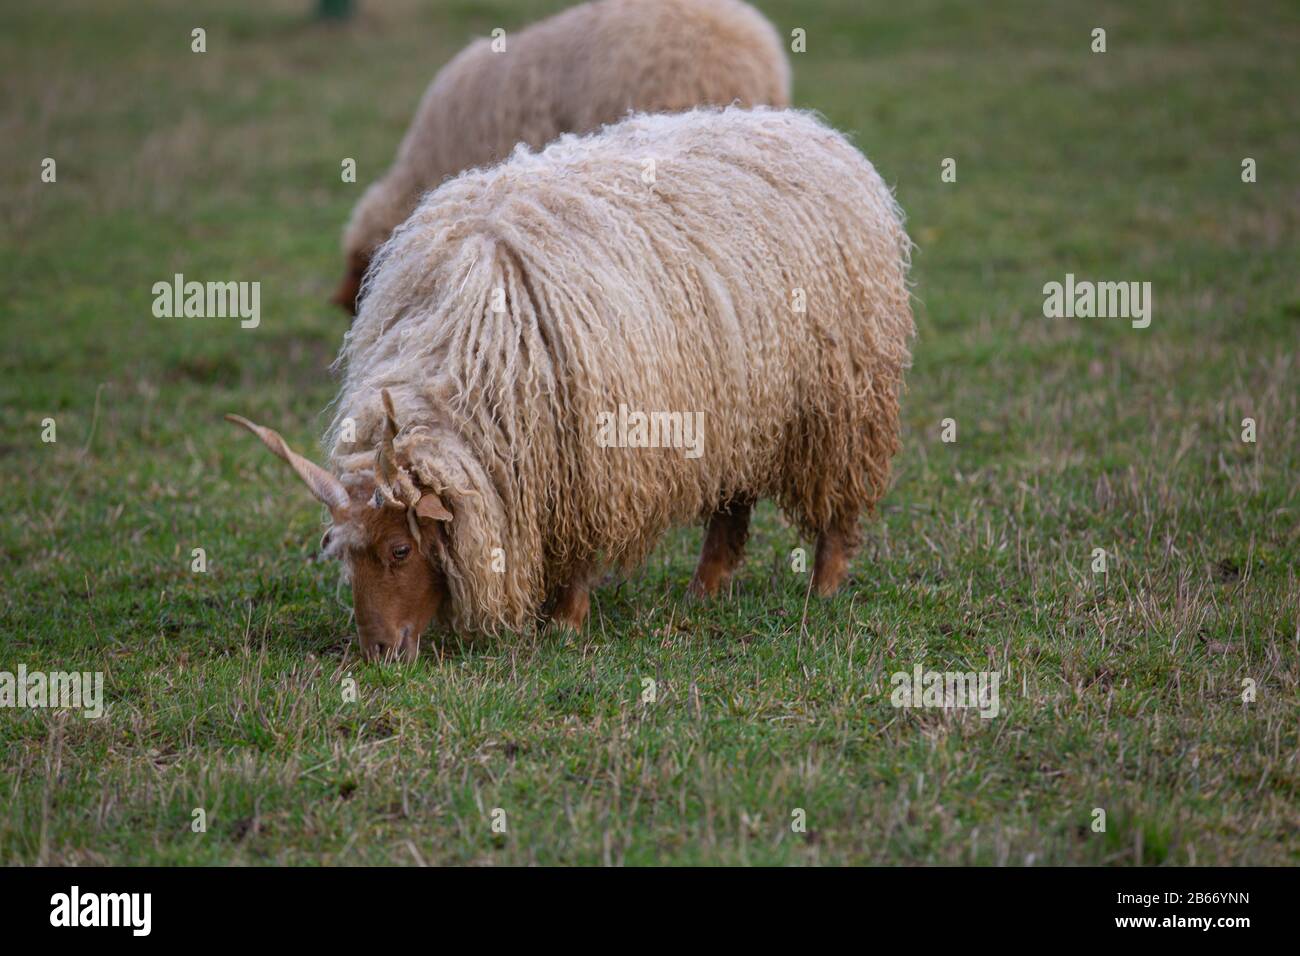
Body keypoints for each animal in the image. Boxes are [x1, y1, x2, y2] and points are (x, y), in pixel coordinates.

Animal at [233, 104, 909, 658]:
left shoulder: (588, 458)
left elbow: (580, 548)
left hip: (843, 400)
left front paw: (565, 621)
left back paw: (824, 586)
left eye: (399, 550)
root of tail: (808, 127)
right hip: (740, 403)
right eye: (345, 554)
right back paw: (705, 590)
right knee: (732, 501)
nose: (377, 654)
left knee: (839, 504)